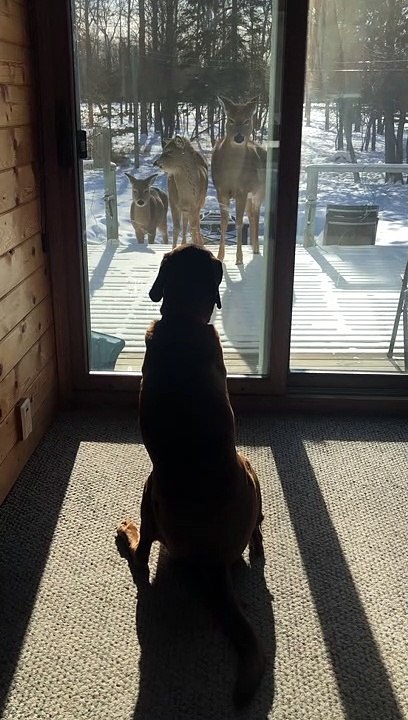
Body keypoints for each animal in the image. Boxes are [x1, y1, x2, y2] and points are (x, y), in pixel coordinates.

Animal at [211, 96, 266, 266]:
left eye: (247, 120)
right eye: (230, 119)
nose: (239, 137)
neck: (232, 175)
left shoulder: (242, 190)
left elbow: (239, 222)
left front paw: (239, 258)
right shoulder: (220, 190)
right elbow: (223, 223)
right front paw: (220, 256)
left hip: (259, 191)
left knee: (256, 214)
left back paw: (256, 248)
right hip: (249, 196)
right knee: (252, 214)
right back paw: (254, 247)